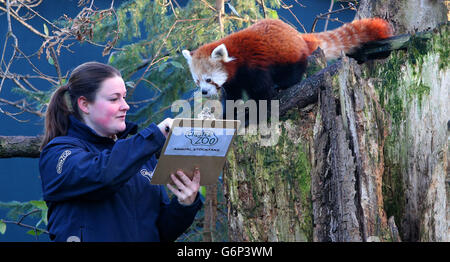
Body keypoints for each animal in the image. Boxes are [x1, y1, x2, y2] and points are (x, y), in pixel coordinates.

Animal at [181, 17, 392, 108]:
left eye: (208, 79)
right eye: (197, 81)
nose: (204, 92)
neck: (235, 57)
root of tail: (298, 35)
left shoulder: (254, 65)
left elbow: (262, 89)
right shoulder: (234, 79)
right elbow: (233, 93)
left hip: (290, 57)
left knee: (293, 72)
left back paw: (284, 85)